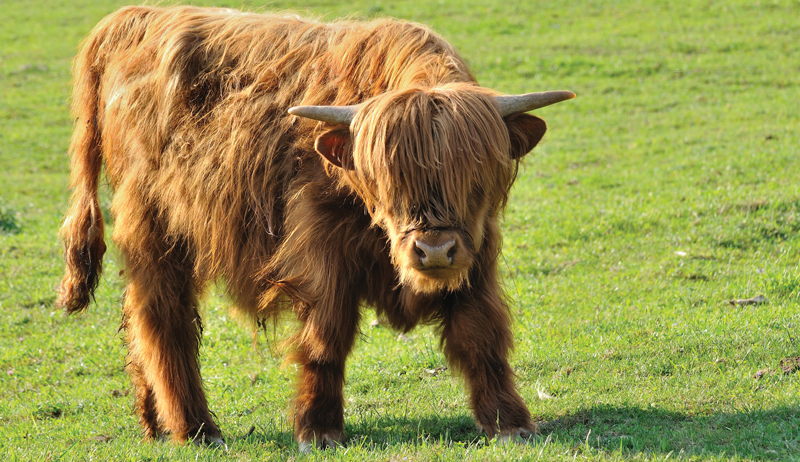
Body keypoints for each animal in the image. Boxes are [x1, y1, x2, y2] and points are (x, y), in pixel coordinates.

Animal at [57, 4, 576, 452]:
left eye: (474, 177)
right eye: (388, 181)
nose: (432, 251)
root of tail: (136, 17)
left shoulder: (475, 252)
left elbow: (481, 334)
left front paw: (510, 422)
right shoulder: (323, 251)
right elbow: (326, 337)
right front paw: (319, 428)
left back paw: (155, 423)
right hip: (154, 224)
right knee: (163, 319)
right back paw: (197, 429)